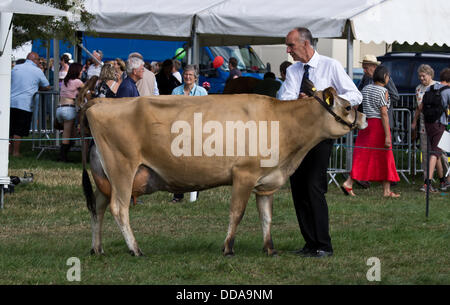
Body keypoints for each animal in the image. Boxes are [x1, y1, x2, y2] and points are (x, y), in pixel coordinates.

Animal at [81, 86, 368, 255]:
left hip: (106, 176)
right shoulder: (243, 174)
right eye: (347, 107)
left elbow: (266, 217)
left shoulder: (266, 182)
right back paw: (135, 249)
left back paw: (97, 248)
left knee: (98, 208)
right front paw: (228, 247)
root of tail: (99, 102)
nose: (364, 118)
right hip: (122, 169)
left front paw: (270, 249)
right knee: (119, 208)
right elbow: (237, 213)